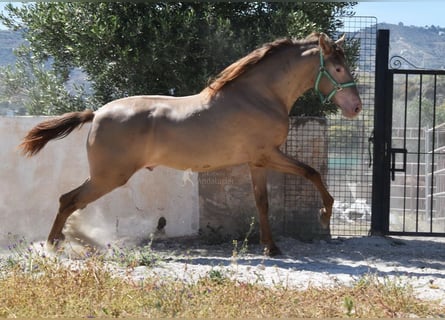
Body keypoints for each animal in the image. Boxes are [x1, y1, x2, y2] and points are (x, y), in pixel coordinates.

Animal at [20, 33, 360, 255]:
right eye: (338, 68)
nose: (356, 107)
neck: (259, 95)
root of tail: (97, 112)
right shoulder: (266, 155)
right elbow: (299, 179)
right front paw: (317, 219)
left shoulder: (259, 160)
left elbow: (281, 190)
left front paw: (278, 242)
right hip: (109, 176)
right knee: (68, 200)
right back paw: (52, 246)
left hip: (106, 176)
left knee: (71, 201)